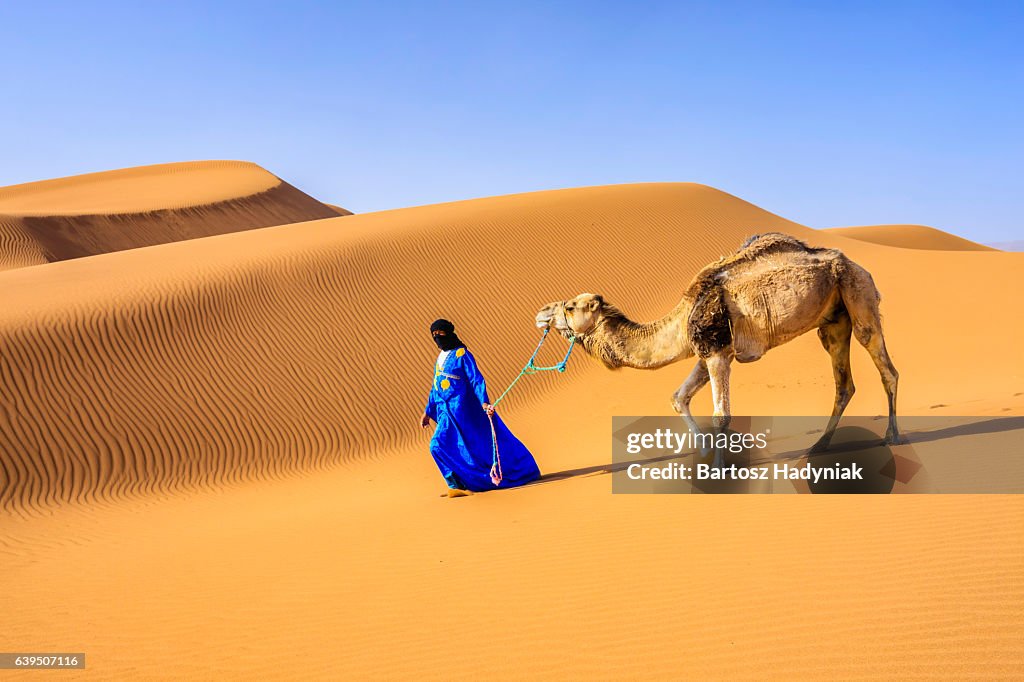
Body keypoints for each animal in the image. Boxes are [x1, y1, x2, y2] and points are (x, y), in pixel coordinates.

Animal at [540, 231, 901, 448]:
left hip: (858, 293)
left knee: (886, 367)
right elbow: (678, 397)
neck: (682, 317)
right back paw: (820, 445)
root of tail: (858, 265)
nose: (541, 312)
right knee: (844, 382)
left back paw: (892, 436)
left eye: (570, 307)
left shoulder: (716, 352)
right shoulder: (706, 351)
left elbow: (721, 416)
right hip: (833, 321)